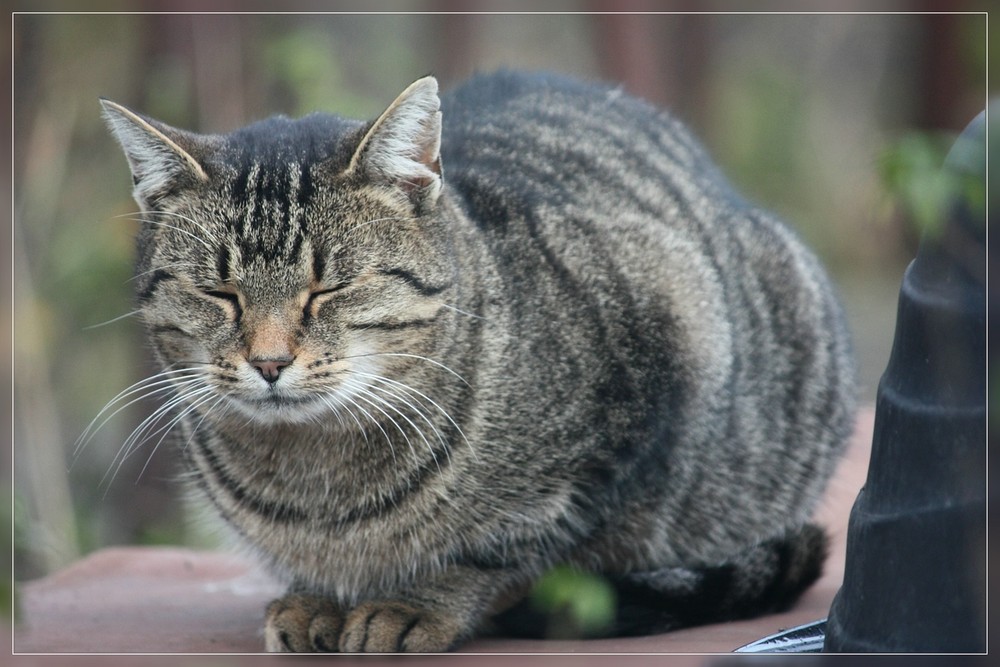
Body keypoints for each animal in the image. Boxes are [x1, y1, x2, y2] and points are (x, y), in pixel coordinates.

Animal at [97, 72, 856, 652]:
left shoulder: (648, 387)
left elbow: (501, 547)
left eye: (329, 288)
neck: (320, 477)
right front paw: (313, 596)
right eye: (218, 293)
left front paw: (415, 603)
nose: (270, 361)